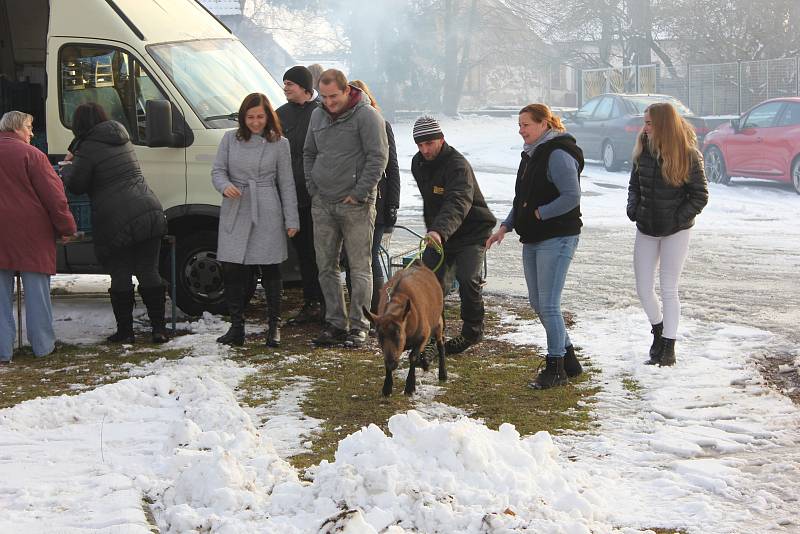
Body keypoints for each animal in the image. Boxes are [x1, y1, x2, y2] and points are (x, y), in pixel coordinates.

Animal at [366, 264, 446, 398]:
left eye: (398, 333)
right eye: (379, 336)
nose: (392, 364)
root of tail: (420, 264)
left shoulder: (423, 335)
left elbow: (412, 356)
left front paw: (410, 387)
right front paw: (387, 388)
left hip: (438, 321)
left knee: (440, 343)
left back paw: (443, 374)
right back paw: (425, 363)